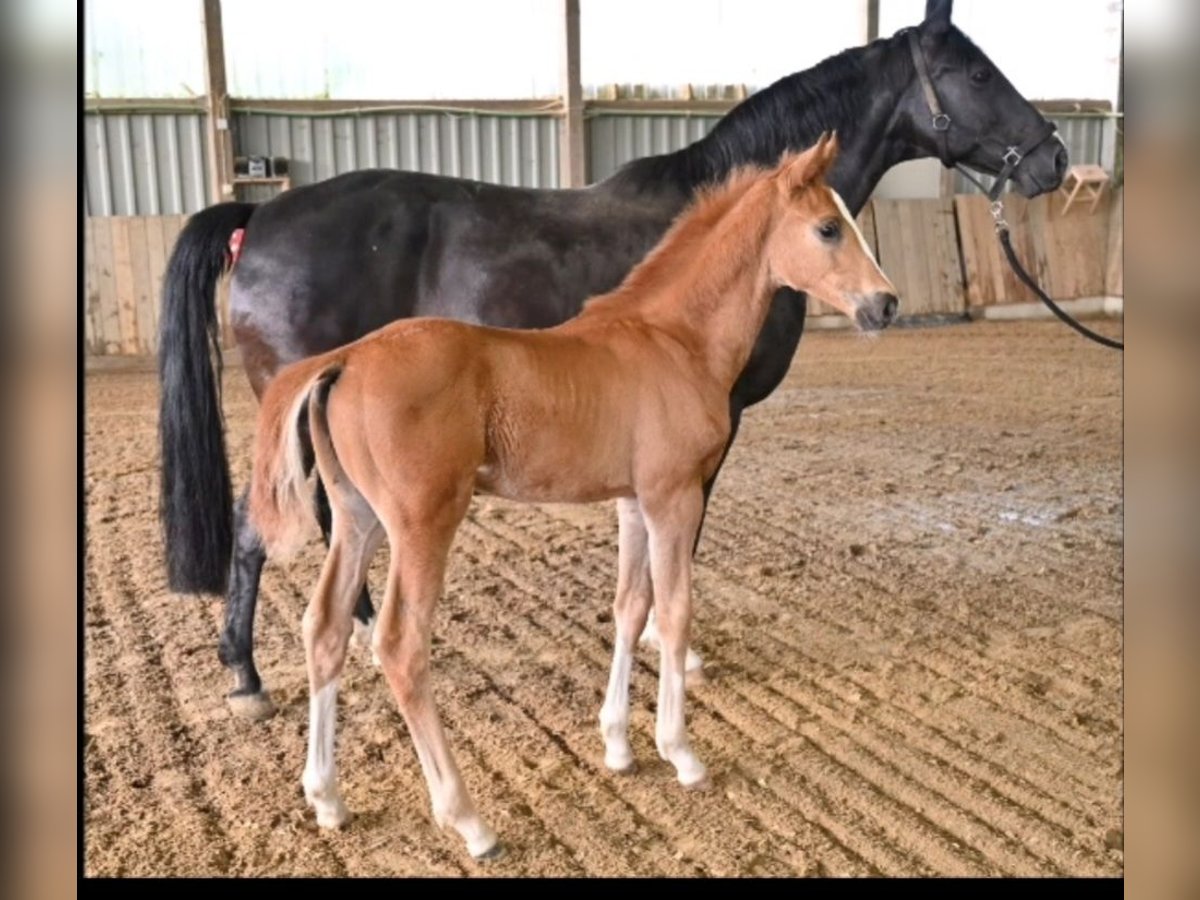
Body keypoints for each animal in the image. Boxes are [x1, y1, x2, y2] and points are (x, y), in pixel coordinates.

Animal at [248, 133, 897, 859]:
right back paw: (469, 820)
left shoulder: (635, 502)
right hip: (422, 522)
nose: (886, 304)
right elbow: (675, 613)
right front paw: (681, 753)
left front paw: (618, 745)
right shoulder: (675, 497)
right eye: (828, 227)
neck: (675, 340)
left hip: (355, 518)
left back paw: (327, 798)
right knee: (399, 646)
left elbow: (629, 607)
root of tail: (345, 359)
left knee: (324, 627)